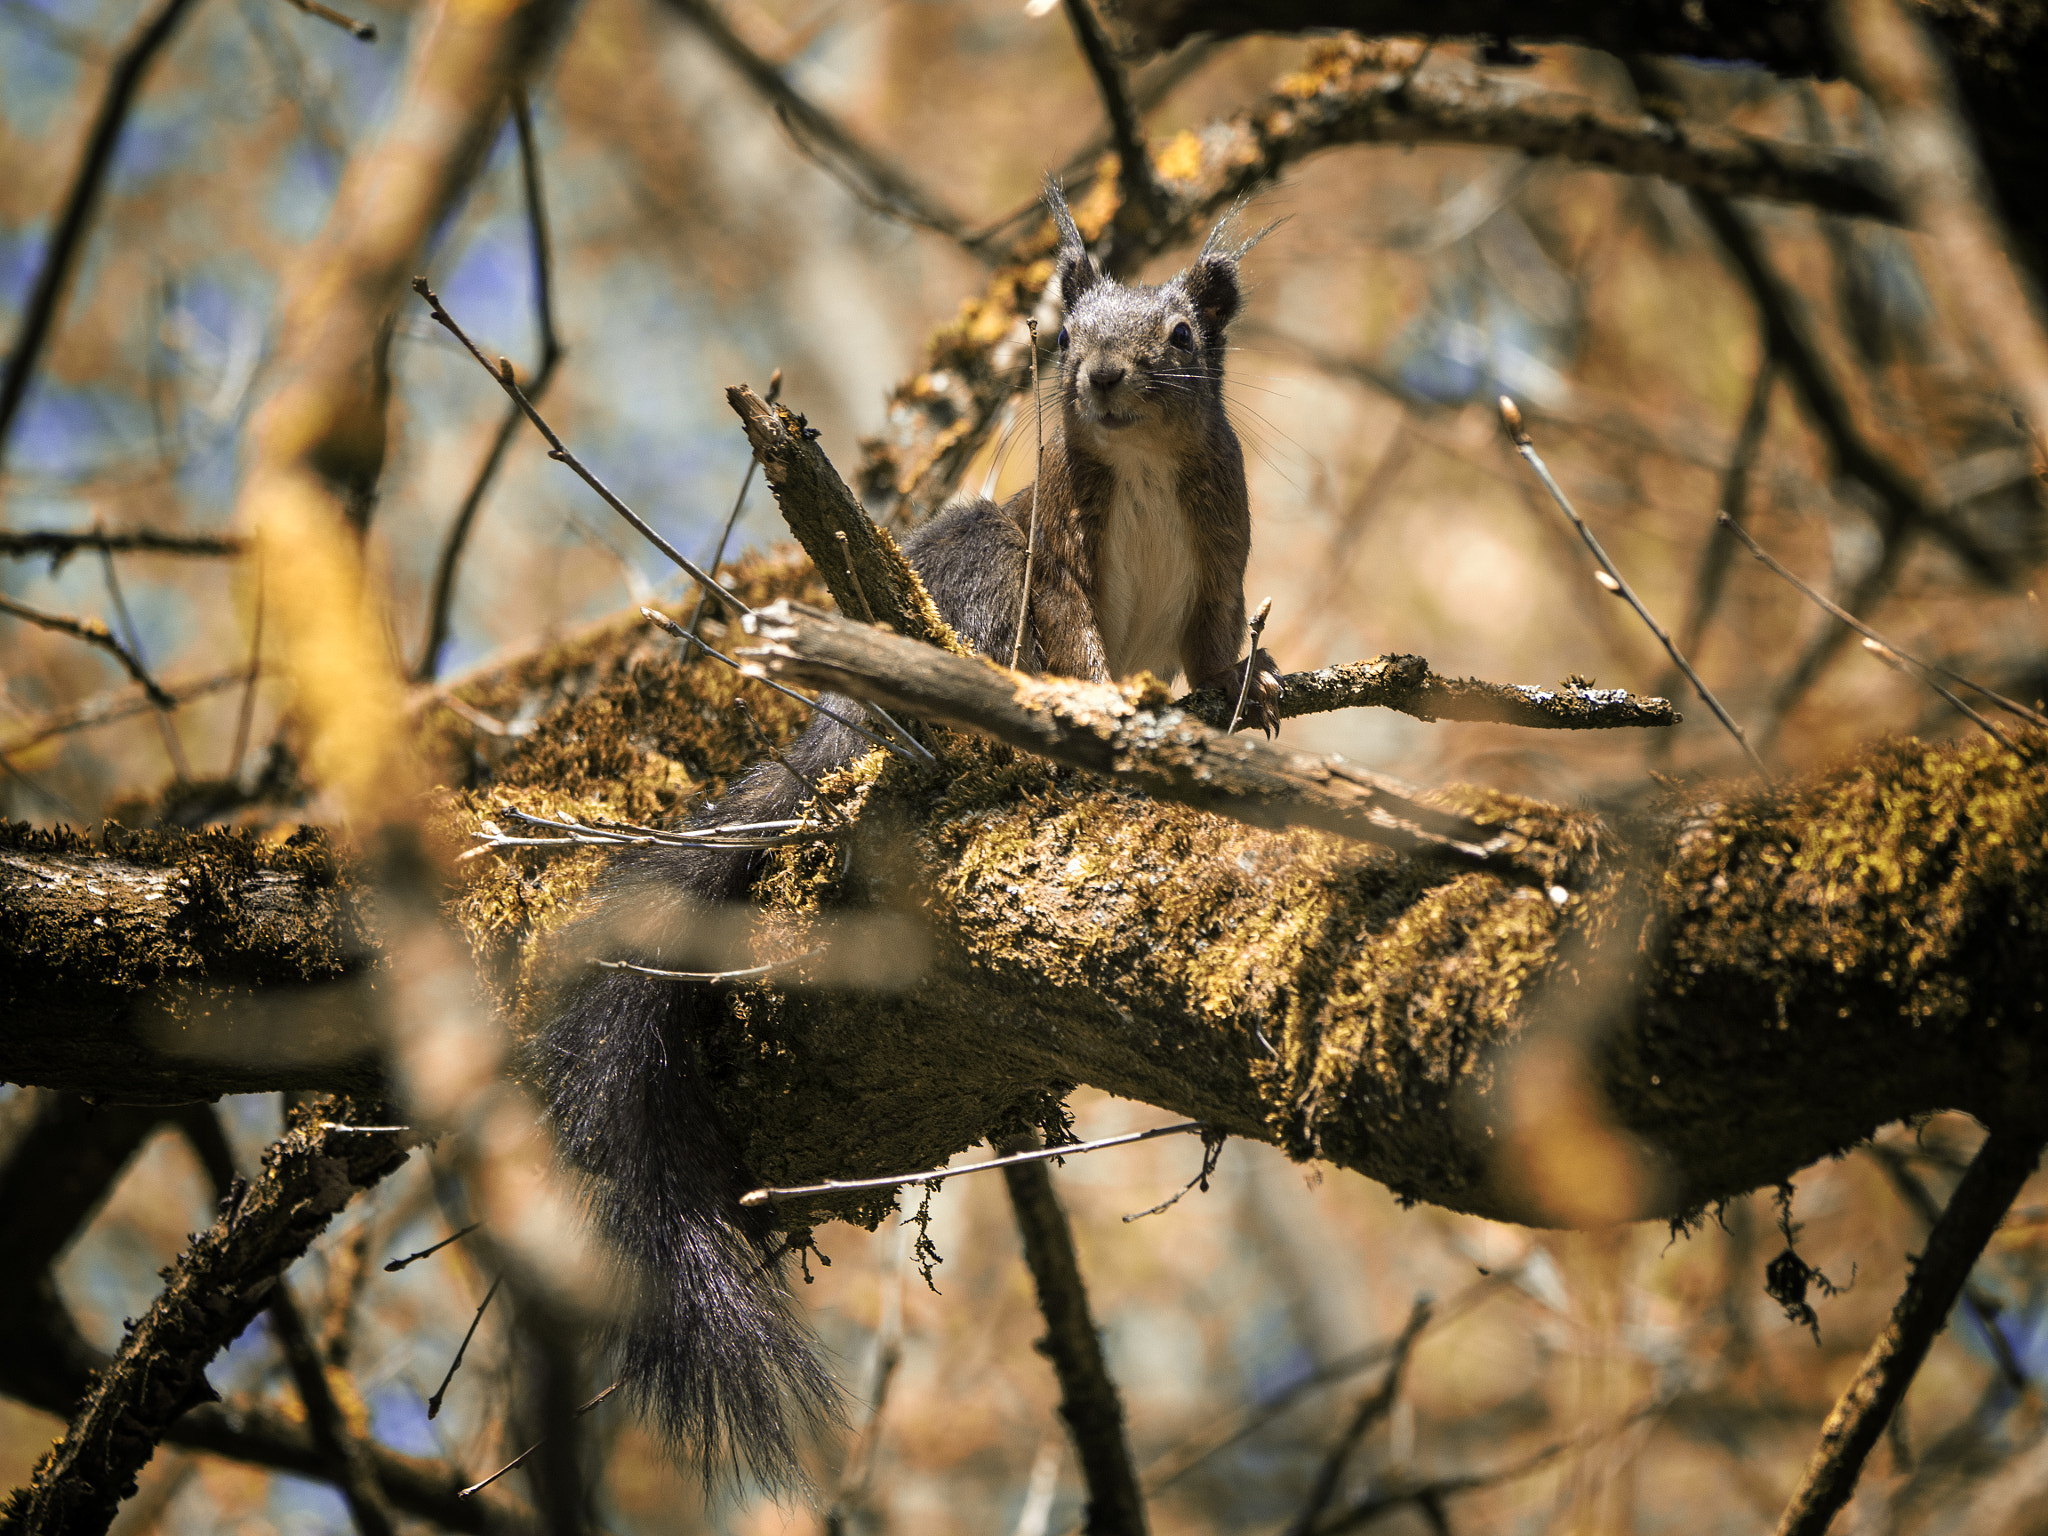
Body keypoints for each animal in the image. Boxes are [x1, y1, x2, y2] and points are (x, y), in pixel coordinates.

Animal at [537, 180, 1279, 1491]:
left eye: (1182, 337)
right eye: (1065, 332)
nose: (1102, 379)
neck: (1140, 465)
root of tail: (833, 736)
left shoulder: (1219, 547)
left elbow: (1210, 640)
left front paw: (1246, 693)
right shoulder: (1055, 562)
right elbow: (1074, 651)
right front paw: (1099, 714)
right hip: (979, 558)